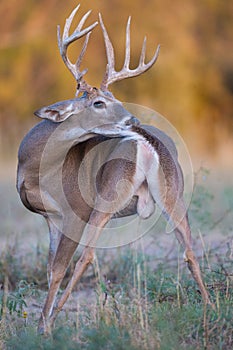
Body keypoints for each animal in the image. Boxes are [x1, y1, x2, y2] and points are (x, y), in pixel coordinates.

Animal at [15, 4, 210, 334]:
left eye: (115, 98)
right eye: (98, 102)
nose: (133, 120)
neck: (35, 166)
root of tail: (148, 143)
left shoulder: (73, 211)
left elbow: (58, 269)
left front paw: (43, 328)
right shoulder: (50, 218)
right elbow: (50, 265)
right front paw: (41, 324)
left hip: (107, 196)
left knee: (88, 255)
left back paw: (55, 318)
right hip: (173, 191)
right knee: (189, 250)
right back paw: (211, 306)